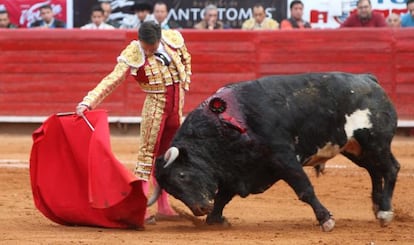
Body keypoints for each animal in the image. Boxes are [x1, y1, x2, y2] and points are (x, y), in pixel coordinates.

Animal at [153, 72, 402, 232]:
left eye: (182, 175)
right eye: (171, 190)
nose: (200, 209)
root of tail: (369, 80)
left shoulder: (283, 157)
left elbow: (304, 189)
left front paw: (326, 220)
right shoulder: (236, 169)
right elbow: (223, 196)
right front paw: (216, 219)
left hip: (375, 142)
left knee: (390, 168)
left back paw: (385, 212)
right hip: (356, 148)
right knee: (374, 171)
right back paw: (377, 207)